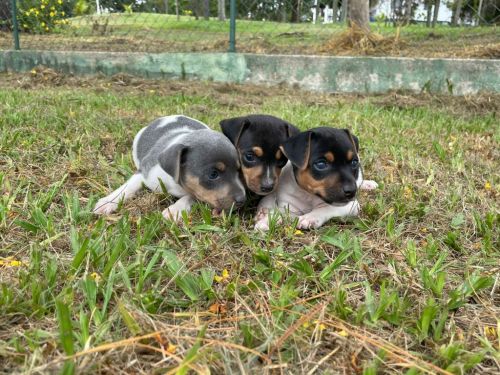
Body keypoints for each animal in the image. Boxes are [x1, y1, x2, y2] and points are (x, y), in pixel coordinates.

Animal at [94, 114, 246, 220]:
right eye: (213, 174)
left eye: (239, 171)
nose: (243, 200)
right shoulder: (144, 171)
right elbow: (128, 186)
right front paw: (108, 201)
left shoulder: (196, 192)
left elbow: (191, 196)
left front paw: (175, 210)